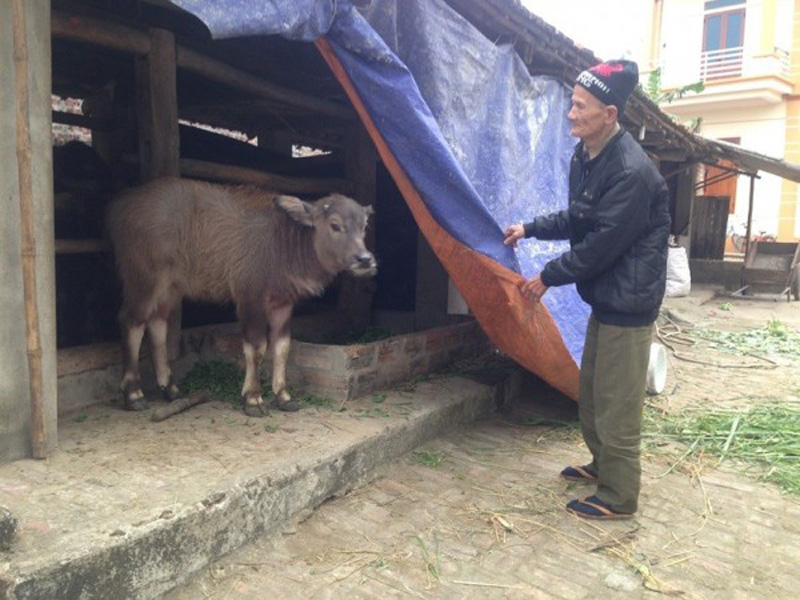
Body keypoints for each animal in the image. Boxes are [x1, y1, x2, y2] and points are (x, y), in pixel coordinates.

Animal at [104, 176, 376, 414]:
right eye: (335, 225)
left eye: (364, 226)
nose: (365, 259)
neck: (283, 245)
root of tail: (119, 206)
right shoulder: (250, 298)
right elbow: (256, 347)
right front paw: (253, 399)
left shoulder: (283, 303)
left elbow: (282, 347)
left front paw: (284, 397)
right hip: (143, 277)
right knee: (132, 321)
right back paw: (134, 395)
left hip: (170, 287)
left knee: (157, 323)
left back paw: (170, 389)